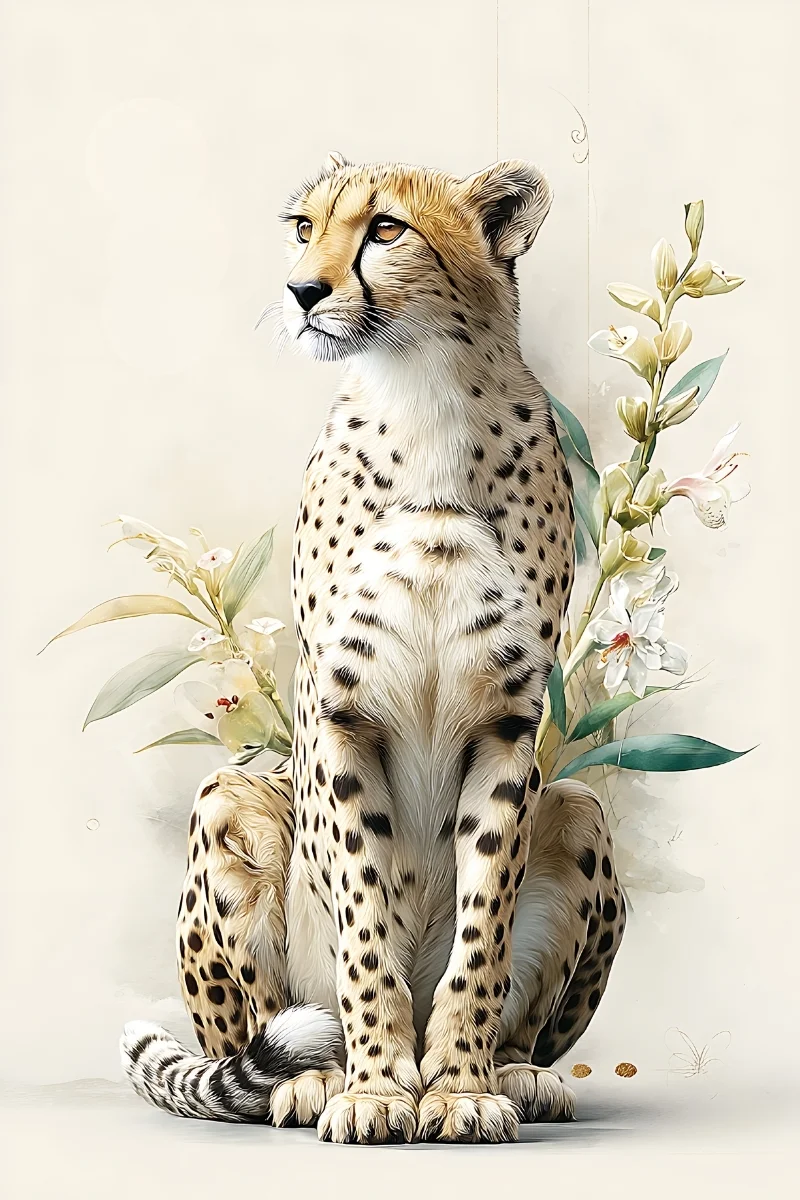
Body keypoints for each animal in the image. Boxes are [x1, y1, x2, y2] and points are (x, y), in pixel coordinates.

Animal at [121, 152, 625, 1144]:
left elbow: (483, 923)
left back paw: (519, 1073)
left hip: (583, 809)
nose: (301, 290)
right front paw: (380, 1086)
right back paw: (308, 1078)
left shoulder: (509, 725)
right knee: (255, 1026)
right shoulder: (342, 716)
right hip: (227, 798)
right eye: (302, 226)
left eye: (387, 229)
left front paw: (460, 1086)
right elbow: (364, 916)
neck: (424, 396)